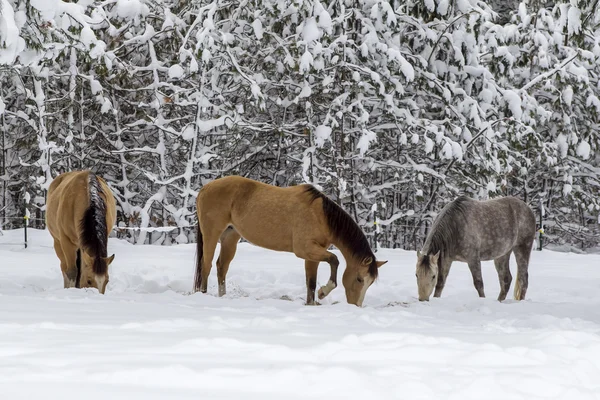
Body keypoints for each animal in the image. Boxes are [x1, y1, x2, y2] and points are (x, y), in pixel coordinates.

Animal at [195, 175, 386, 306]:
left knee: (221, 267)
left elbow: (311, 282)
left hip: (230, 238)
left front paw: (311, 302)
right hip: (211, 234)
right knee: (206, 265)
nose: (356, 305)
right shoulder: (305, 249)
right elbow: (334, 260)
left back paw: (222, 296)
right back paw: (202, 295)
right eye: (360, 279)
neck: (320, 216)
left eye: (370, 283)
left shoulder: (312, 255)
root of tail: (205, 188)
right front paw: (324, 292)